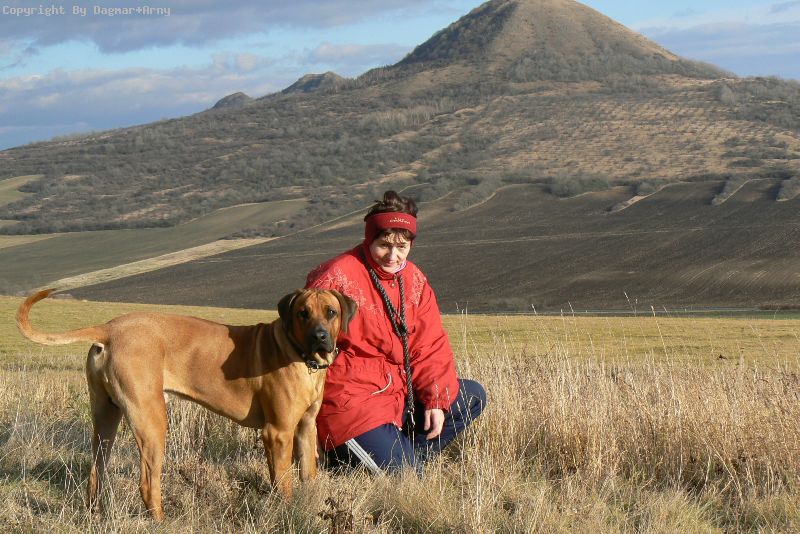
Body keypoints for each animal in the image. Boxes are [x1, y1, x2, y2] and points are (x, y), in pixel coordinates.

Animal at [16, 288, 357, 520]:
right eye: (302, 313)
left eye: (330, 312)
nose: (320, 337)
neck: (299, 355)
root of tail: (110, 328)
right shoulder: (278, 433)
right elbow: (282, 483)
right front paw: (285, 510)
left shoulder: (305, 429)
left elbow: (308, 474)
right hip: (151, 420)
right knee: (147, 482)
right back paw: (160, 520)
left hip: (105, 417)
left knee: (95, 472)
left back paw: (94, 514)